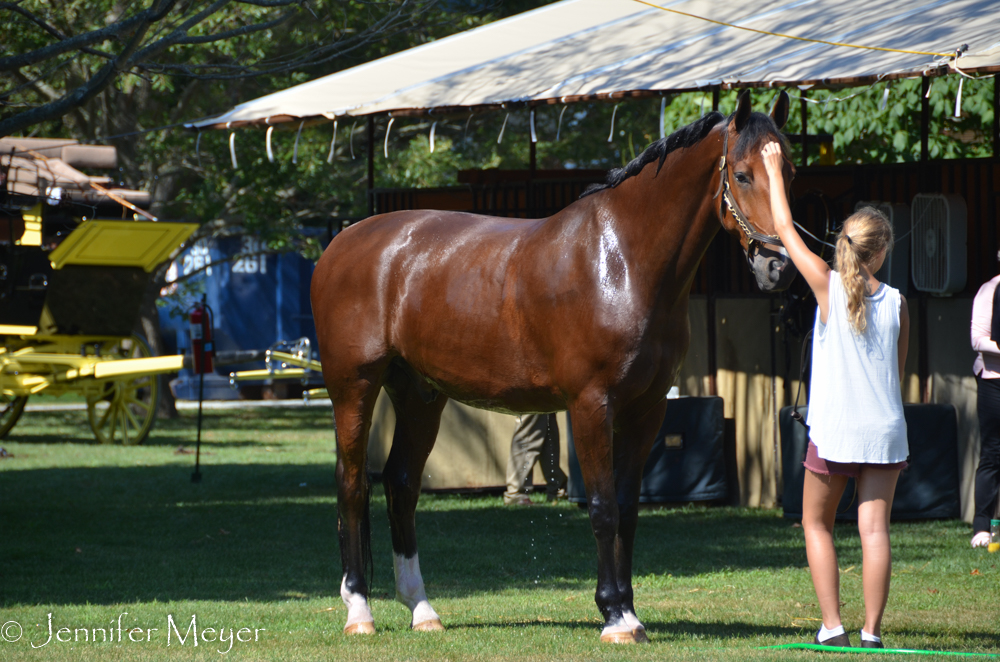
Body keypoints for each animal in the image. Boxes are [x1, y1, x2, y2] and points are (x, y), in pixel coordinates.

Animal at [312, 91, 796, 644]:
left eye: (790, 171)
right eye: (742, 174)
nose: (779, 266)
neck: (623, 261)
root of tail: (340, 244)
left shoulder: (646, 410)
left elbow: (628, 509)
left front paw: (630, 612)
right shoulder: (590, 405)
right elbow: (603, 509)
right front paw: (614, 617)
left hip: (420, 395)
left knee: (401, 484)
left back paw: (422, 609)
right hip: (354, 388)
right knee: (352, 485)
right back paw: (359, 611)